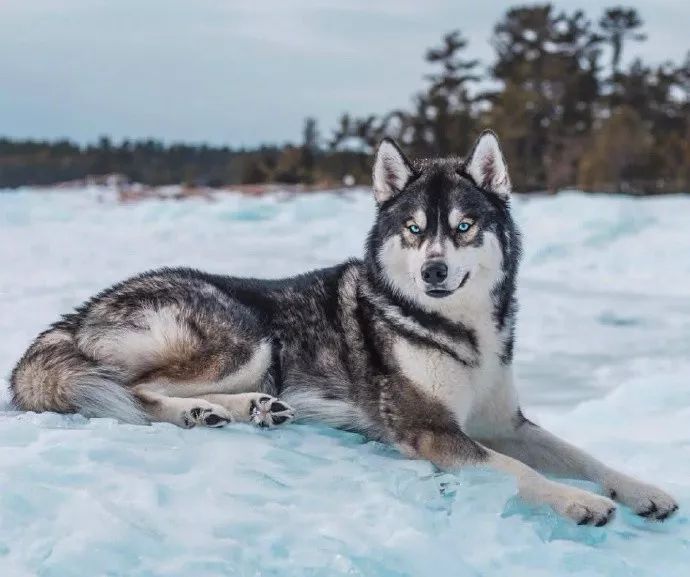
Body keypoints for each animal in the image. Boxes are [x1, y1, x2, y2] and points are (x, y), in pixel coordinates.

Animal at [9, 132, 676, 528]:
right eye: (413, 228)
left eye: (463, 226)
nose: (434, 270)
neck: (459, 331)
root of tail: (76, 315)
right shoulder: (432, 430)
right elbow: (522, 472)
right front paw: (579, 500)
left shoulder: (504, 422)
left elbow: (582, 454)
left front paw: (641, 489)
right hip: (248, 334)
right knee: (138, 392)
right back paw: (207, 411)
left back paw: (249, 409)